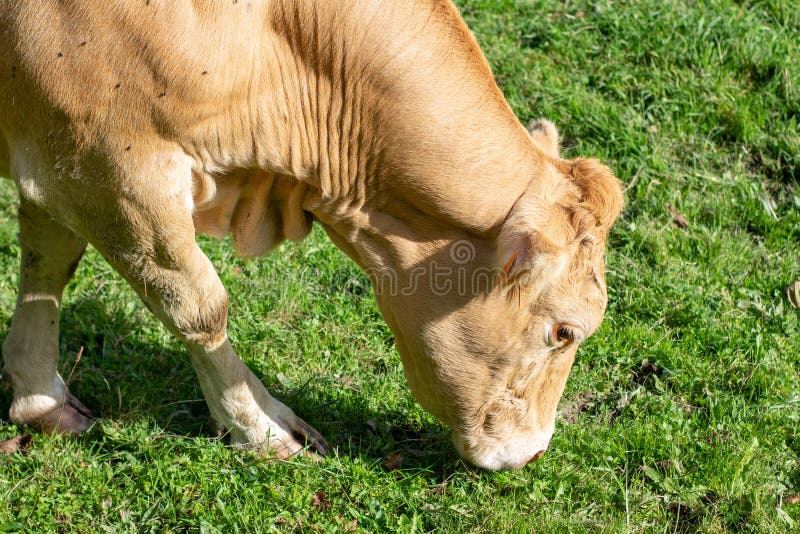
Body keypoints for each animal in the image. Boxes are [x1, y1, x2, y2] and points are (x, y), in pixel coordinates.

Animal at [0, 0, 623, 470]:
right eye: (565, 331)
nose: (535, 453)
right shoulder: (109, 169)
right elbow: (200, 306)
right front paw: (262, 428)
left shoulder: (55, 160)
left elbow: (48, 266)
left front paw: (40, 398)